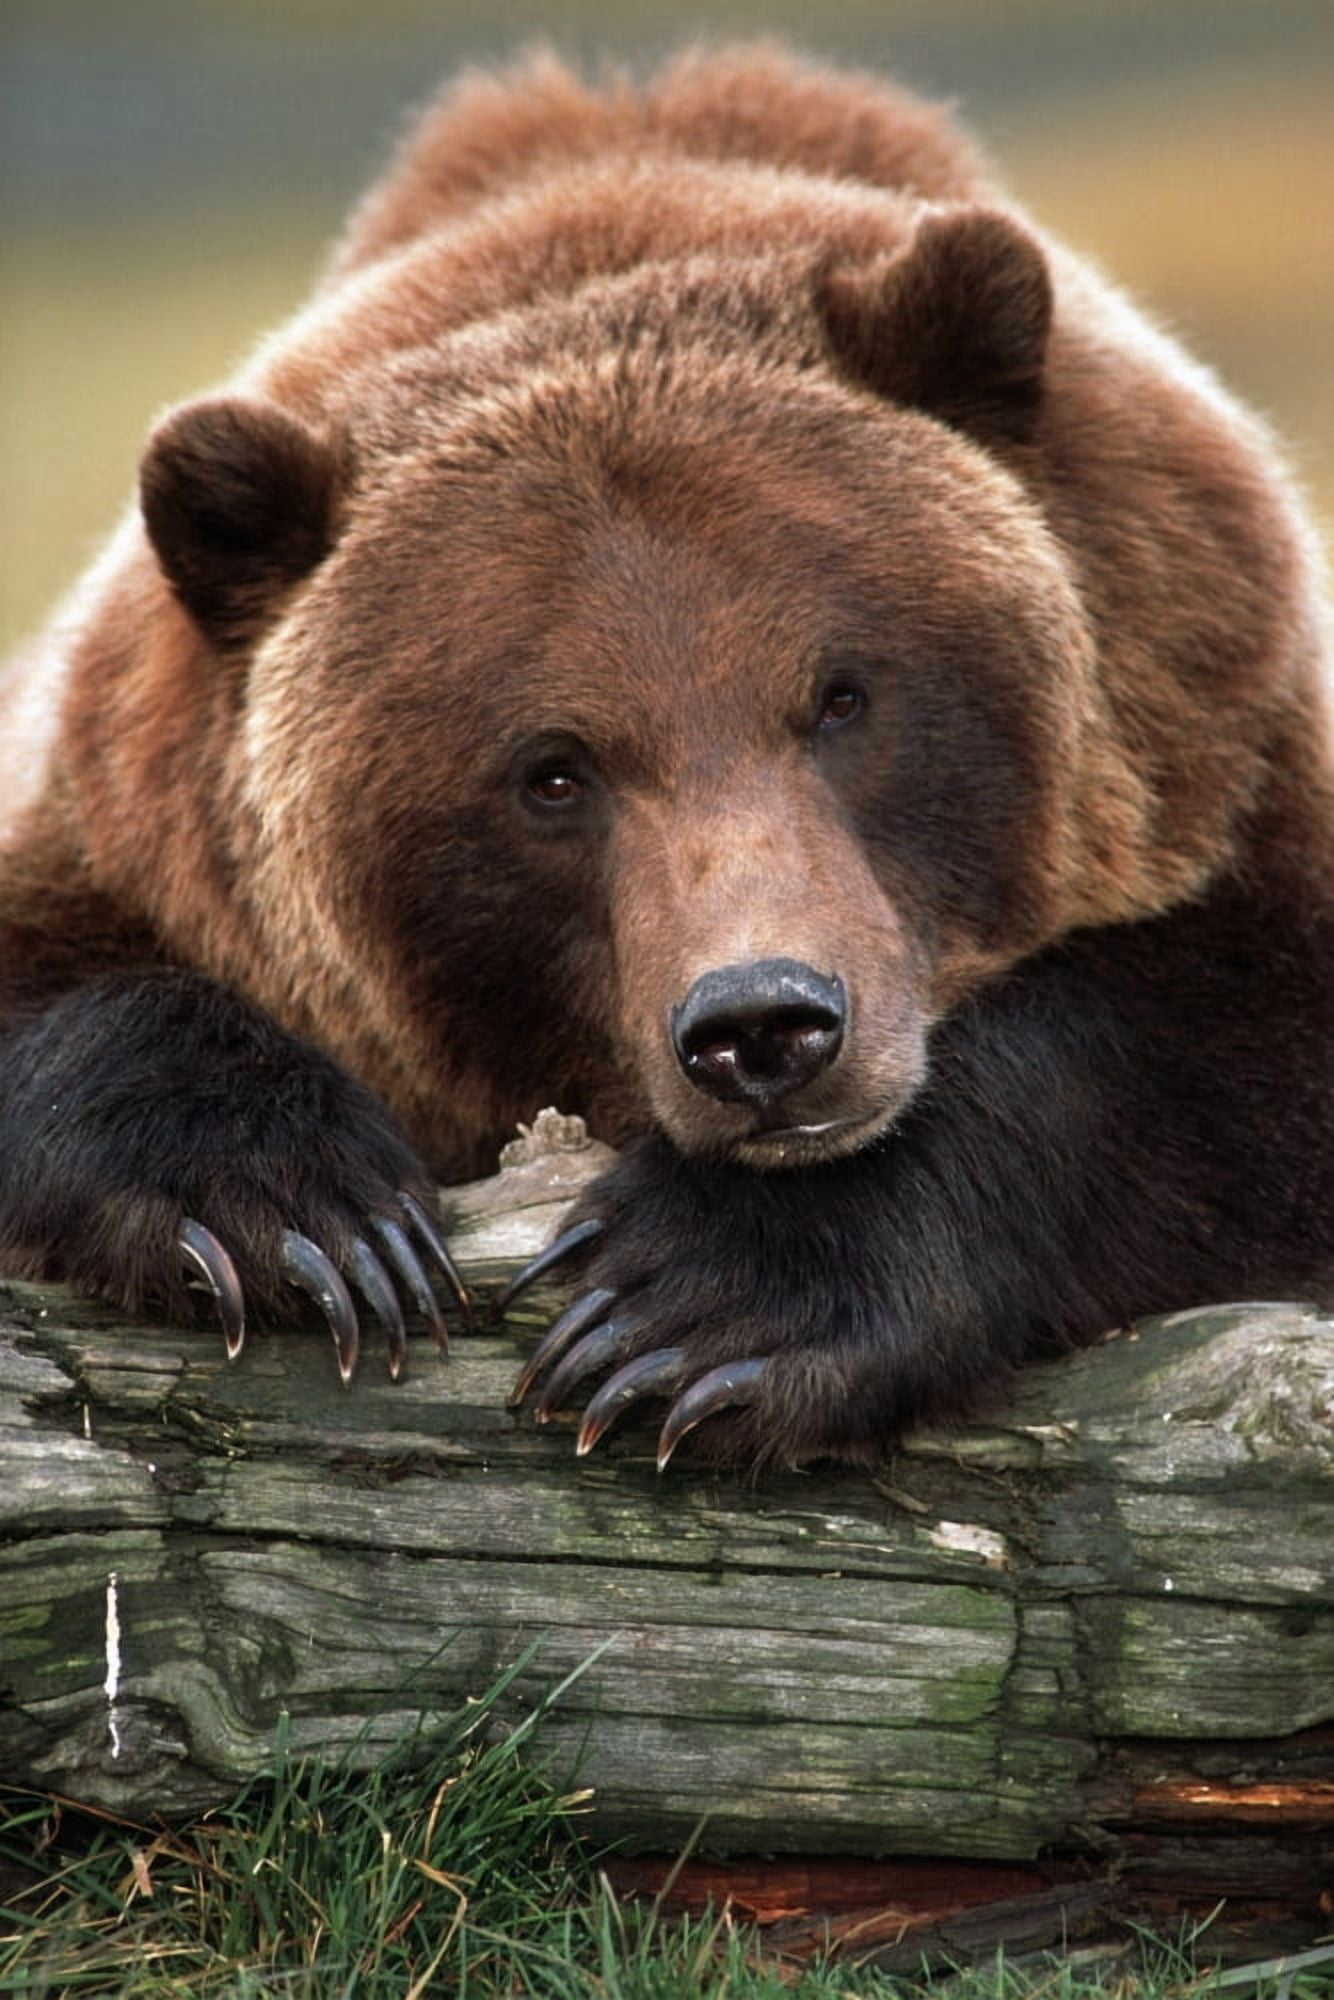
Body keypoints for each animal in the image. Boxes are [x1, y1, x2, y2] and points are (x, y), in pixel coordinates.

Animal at [1, 43, 1331, 1468]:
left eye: (842, 694)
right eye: (552, 769)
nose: (763, 1026)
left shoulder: (1236, 757)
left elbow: (1212, 1063)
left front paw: (696, 1304)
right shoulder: (120, 818)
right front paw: (300, 1214)